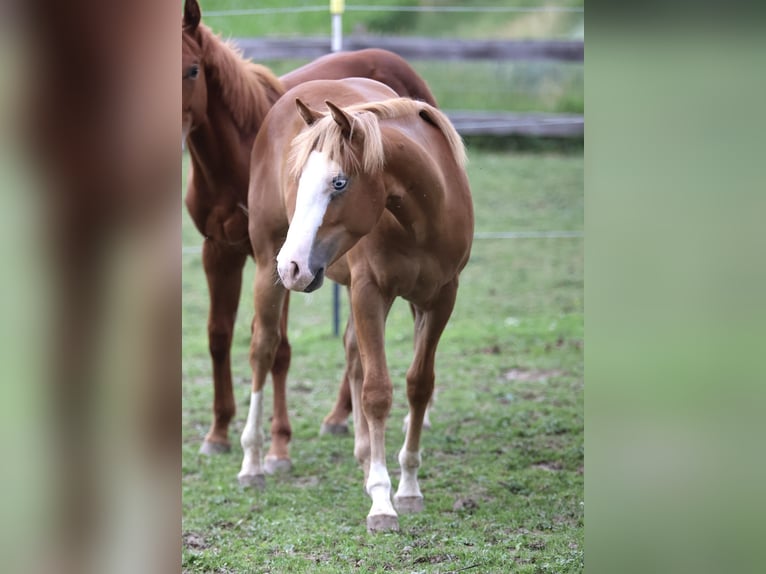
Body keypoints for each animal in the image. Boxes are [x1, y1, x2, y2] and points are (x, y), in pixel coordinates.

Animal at [182, 0, 438, 462]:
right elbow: (219, 335)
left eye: (192, 69)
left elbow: (279, 348)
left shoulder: (275, 256)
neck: (237, 151)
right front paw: (218, 432)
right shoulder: (220, 249)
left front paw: (278, 444)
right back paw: (341, 416)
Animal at [244, 77, 474, 532]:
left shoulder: (440, 299)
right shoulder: (370, 292)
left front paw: (408, 486)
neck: (424, 213)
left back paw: (365, 457)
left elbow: (418, 385)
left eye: (339, 183)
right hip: (265, 267)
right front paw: (382, 501)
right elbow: (376, 391)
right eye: (298, 179)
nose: (292, 265)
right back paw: (253, 462)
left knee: (352, 353)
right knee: (263, 349)